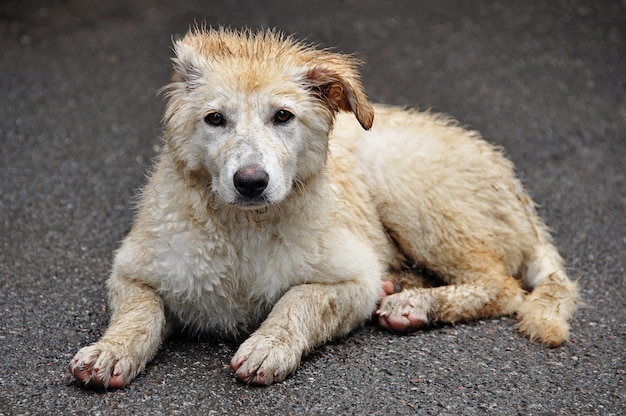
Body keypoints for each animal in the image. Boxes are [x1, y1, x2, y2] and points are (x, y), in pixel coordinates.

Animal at [67, 27, 576, 388]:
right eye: (215, 119)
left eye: (283, 116)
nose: (250, 182)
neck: (244, 228)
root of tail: (519, 192)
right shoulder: (133, 270)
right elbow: (138, 312)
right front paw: (110, 351)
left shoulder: (352, 278)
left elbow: (300, 300)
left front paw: (268, 345)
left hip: (402, 181)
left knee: (502, 285)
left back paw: (415, 303)